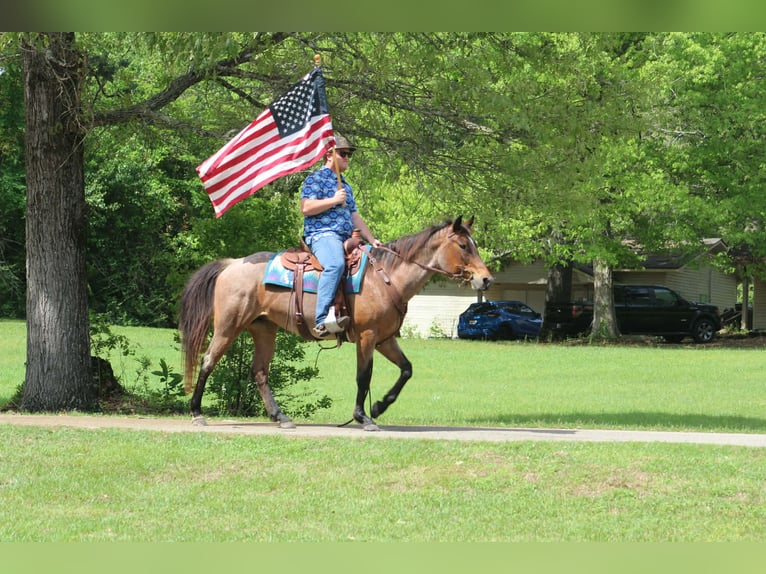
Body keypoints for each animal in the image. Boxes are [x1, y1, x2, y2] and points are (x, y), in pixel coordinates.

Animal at [178, 216, 494, 431]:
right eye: (463, 245)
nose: (486, 279)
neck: (385, 277)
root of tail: (232, 263)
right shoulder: (367, 336)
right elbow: (363, 376)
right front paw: (362, 417)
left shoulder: (385, 339)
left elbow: (406, 369)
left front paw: (378, 406)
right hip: (228, 327)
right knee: (208, 361)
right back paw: (197, 413)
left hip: (264, 329)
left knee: (259, 372)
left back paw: (280, 417)